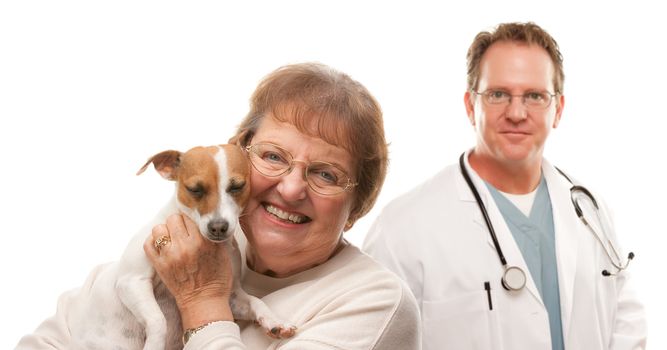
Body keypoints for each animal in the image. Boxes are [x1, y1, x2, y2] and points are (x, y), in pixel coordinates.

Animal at [69, 144, 296, 348]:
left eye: (237, 186)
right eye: (194, 189)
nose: (218, 227)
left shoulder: (231, 297)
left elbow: (255, 301)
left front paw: (275, 320)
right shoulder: (131, 282)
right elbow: (158, 320)